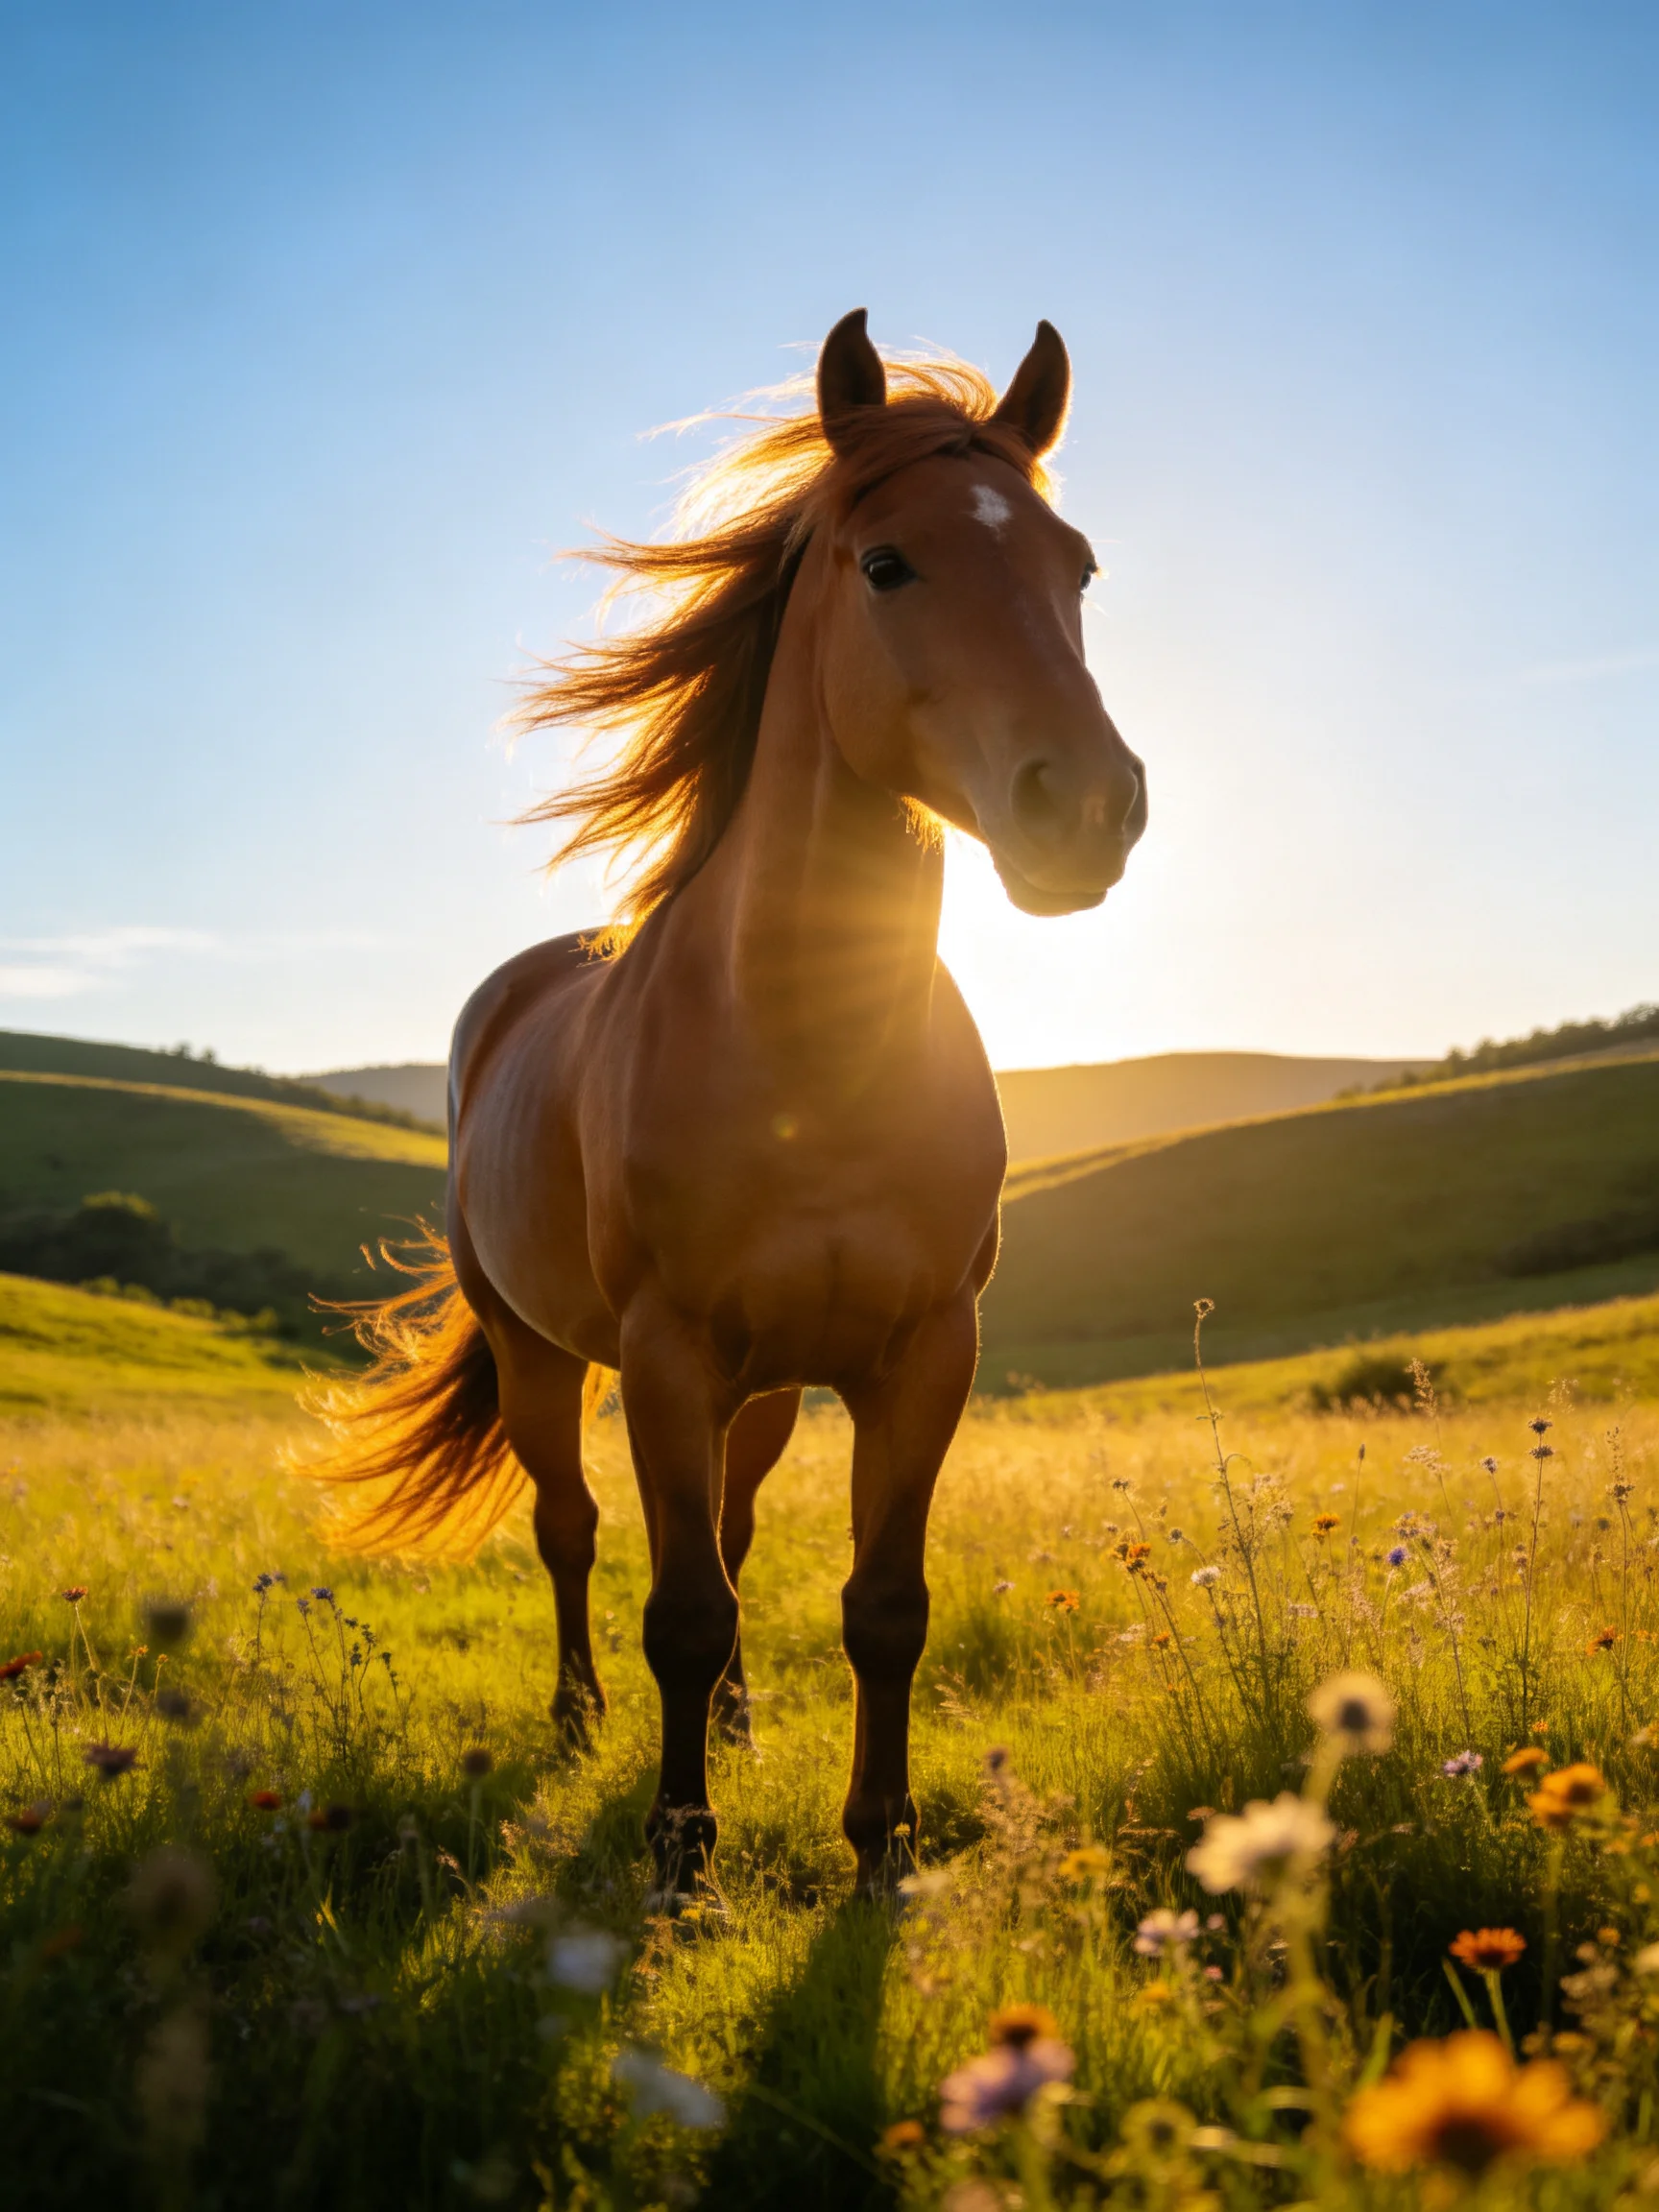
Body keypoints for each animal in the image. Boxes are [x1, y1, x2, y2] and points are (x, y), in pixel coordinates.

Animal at [313, 310, 1147, 1895]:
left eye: (1076, 566)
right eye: (887, 563)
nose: (1086, 806)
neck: (807, 1057)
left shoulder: (923, 1353)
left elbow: (881, 1605)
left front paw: (879, 1850)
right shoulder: (667, 1354)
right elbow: (680, 1608)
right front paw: (680, 1853)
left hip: (767, 1390)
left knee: (743, 1529)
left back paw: (747, 1723)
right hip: (541, 1354)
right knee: (572, 1533)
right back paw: (578, 1721)